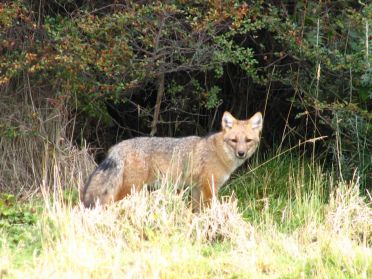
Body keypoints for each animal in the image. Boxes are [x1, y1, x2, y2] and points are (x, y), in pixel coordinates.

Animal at [82, 110, 262, 211]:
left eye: (247, 140)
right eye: (234, 140)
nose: (241, 153)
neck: (219, 153)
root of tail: (117, 147)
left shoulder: (196, 188)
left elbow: (196, 210)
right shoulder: (209, 188)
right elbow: (211, 208)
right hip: (131, 189)